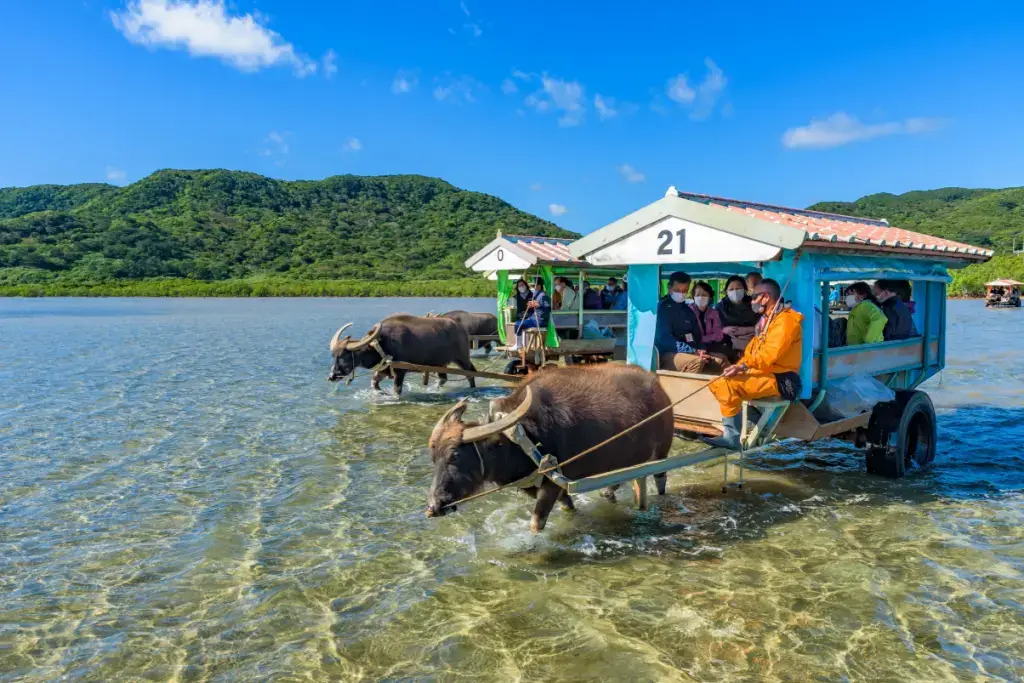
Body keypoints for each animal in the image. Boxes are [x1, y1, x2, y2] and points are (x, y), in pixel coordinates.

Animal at [329, 313, 477, 395]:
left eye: (344, 356)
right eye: (334, 356)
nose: (331, 376)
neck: (383, 345)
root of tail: (461, 328)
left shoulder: (400, 372)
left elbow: (397, 390)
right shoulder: (383, 371)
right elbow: (374, 384)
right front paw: (382, 393)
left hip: (462, 358)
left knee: (470, 373)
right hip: (439, 364)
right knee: (443, 378)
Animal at [421, 366, 671, 532]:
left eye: (455, 456)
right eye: (434, 458)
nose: (434, 505)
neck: (523, 438)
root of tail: (659, 387)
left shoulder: (552, 484)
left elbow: (536, 524)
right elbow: (568, 506)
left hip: (661, 454)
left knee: (659, 479)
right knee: (616, 484)